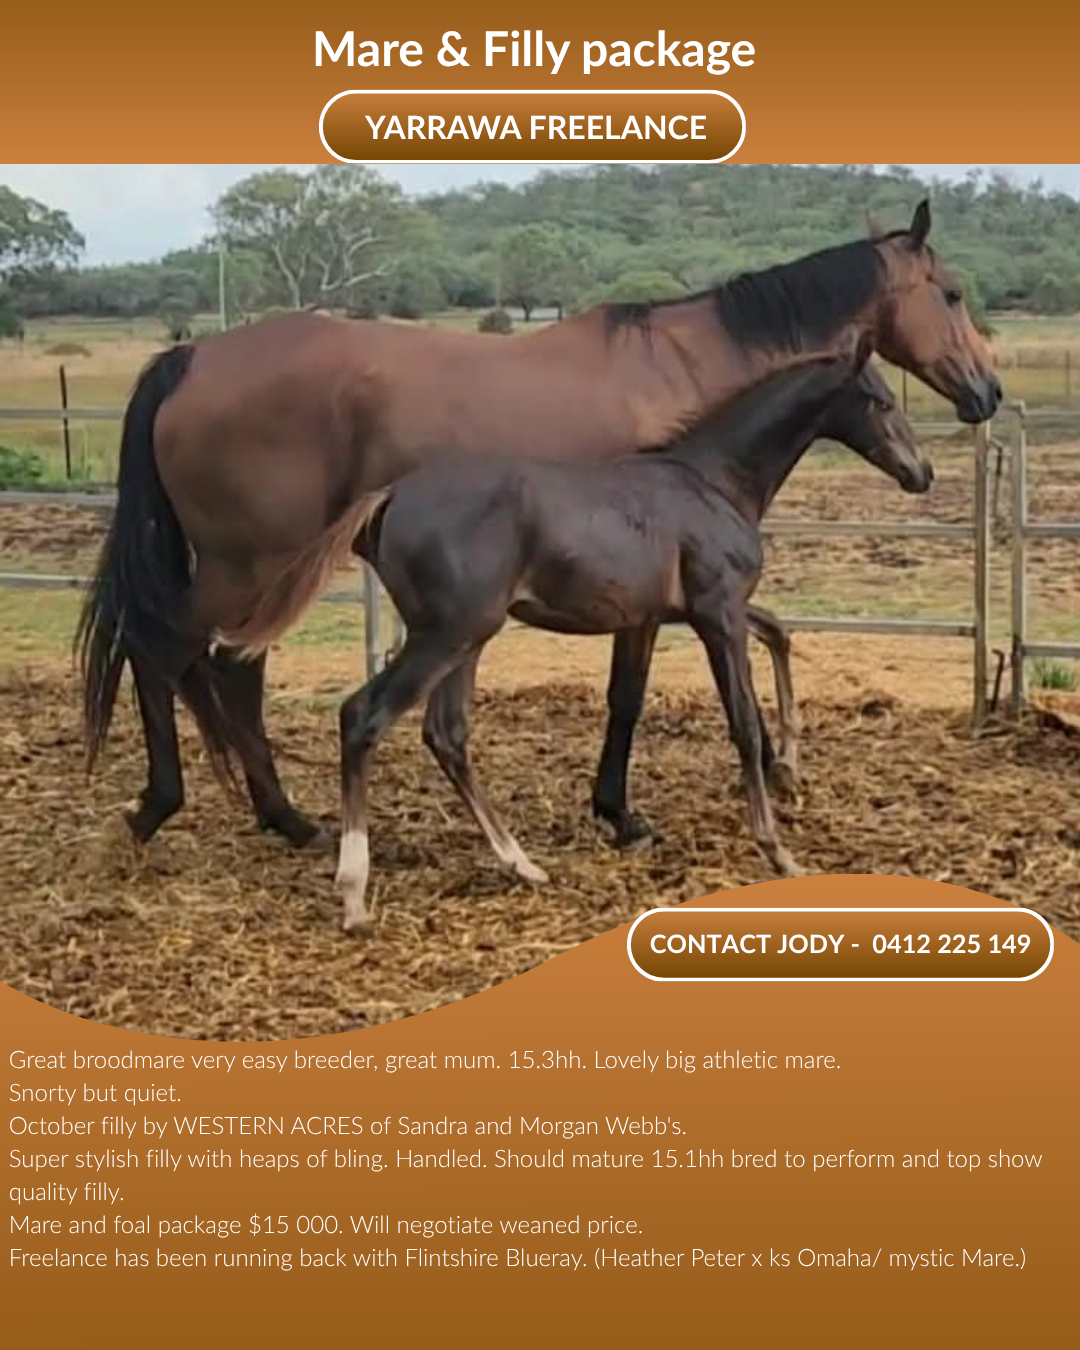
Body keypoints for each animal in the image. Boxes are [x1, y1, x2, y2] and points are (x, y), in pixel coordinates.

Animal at [76, 200, 998, 853]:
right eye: (952, 293)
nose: (987, 393)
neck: (690, 374)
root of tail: (191, 357)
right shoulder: (650, 595)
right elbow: (627, 698)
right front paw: (622, 814)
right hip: (245, 565)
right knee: (171, 655)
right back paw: (168, 807)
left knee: (225, 671)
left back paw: (286, 819)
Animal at [224, 343, 931, 934]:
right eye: (880, 400)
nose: (921, 472)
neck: (712, 479)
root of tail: (392, 495)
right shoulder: (719, 612)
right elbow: (743, 724)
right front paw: (777, 847)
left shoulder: (671, 615)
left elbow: (764, 641)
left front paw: (784, 772)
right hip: (448, 634)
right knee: (362, 716)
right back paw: (354, 894)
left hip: (465, 638)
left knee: (446, 733)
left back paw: (521, 863)